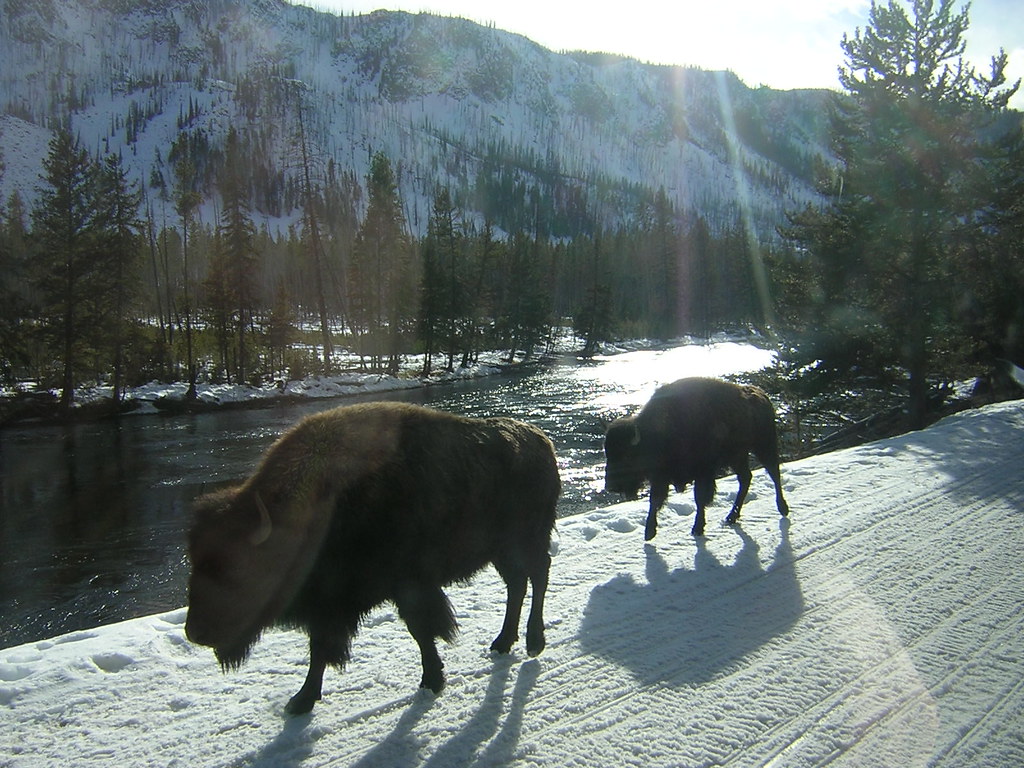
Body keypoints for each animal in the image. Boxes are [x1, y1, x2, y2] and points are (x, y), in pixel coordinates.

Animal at [185, 401, 560, 714]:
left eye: (235, 567)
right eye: (195, 559)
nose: (195, 632)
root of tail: (543, 441)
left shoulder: (408, 588)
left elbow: (421, 631)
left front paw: (432, 679)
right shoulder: (332, 605)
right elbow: (320, 648)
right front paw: (301, 701)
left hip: (527, 541)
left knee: (538, 576)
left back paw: (533, 642)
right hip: (502, 552)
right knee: (517, 584)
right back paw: (503, 642)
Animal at [604, 377, 789, 539]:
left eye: (627, 455)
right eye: (608, 454)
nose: (610, 486)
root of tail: (762, 395)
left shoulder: (703, 473)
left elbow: (700, 499)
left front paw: (697, 528)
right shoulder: (660, 477)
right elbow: (654, 501)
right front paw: (649, 532)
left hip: (764, 446)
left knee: (774, 474)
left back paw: (783, 508)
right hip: (738, 456)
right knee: (746, 478)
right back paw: (731, 517)